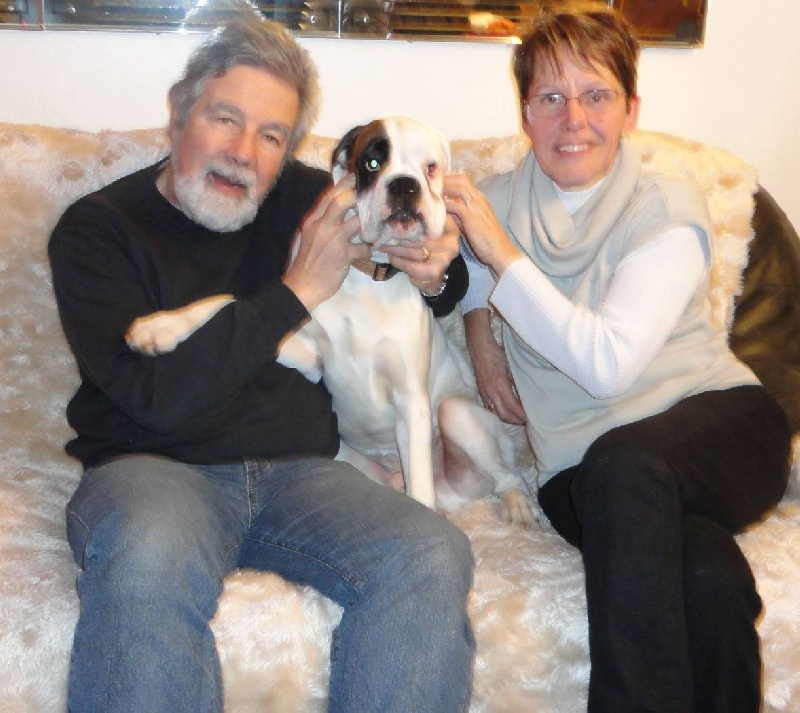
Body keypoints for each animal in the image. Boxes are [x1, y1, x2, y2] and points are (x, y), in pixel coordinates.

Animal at [126, 115, 533, 526]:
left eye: (430, 168)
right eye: (371, 163)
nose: (405, 184)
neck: (369, 276)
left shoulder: (410, 398)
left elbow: (420, 487)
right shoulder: (307, 356)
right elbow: (229, 302)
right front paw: (158, 327)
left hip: (456, 415)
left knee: (506, 474)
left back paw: (517, 506)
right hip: (346, 455)